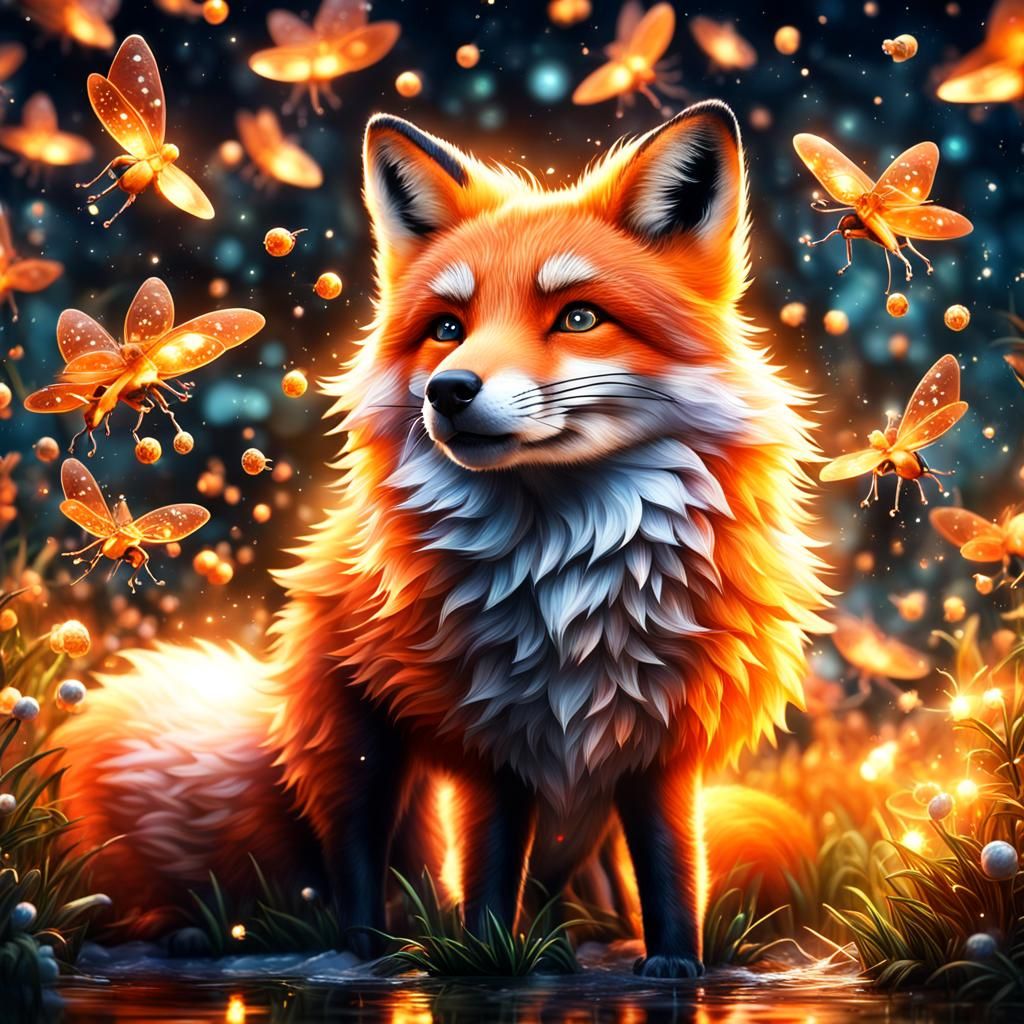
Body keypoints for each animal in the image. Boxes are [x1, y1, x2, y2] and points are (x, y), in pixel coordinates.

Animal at [52, 101, 830, 978]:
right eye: (447, 328)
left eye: (580, 317)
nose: (450, 391)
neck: (565, 582)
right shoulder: (491, 740)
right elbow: (487, 869)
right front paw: (489, 958)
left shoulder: (660, 737)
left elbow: (669, 863)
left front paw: (673, 964)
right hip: (359, 749)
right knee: (356, 865)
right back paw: (370, 951)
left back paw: (585, 936)